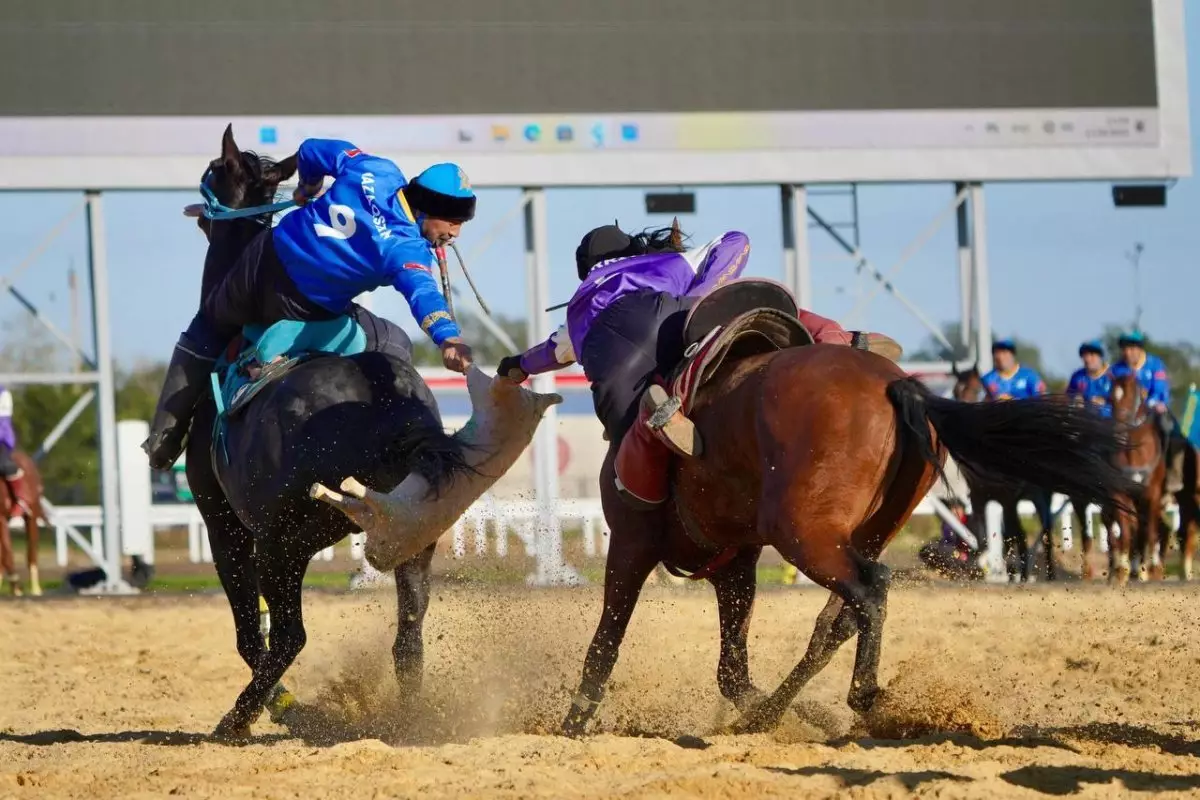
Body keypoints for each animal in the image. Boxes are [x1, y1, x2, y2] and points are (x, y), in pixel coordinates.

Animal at [0, 450, 45, 594]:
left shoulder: (0, 518)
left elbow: (7, 554)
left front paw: (17, 589)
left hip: (32, 514)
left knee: (32, 551)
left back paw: (36, 590)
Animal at [184, 126, 470, 743]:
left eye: (215, 171)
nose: (199, 211)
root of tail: (389, 410)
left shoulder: (225, 527)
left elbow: (251, 633)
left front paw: (284, 709)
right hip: (414, 539)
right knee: (409, 635)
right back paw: (410, 723)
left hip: (279, 546)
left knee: (289, 636)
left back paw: (238, 721)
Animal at [950, 369, 1056, 582]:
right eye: (956, 390)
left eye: (976, 389)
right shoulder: (979, 497)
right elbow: (983, 536)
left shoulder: (1008, 498)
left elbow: (1012, 535)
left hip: (1040, 497)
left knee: (1045, 530)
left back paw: (1046, 574)